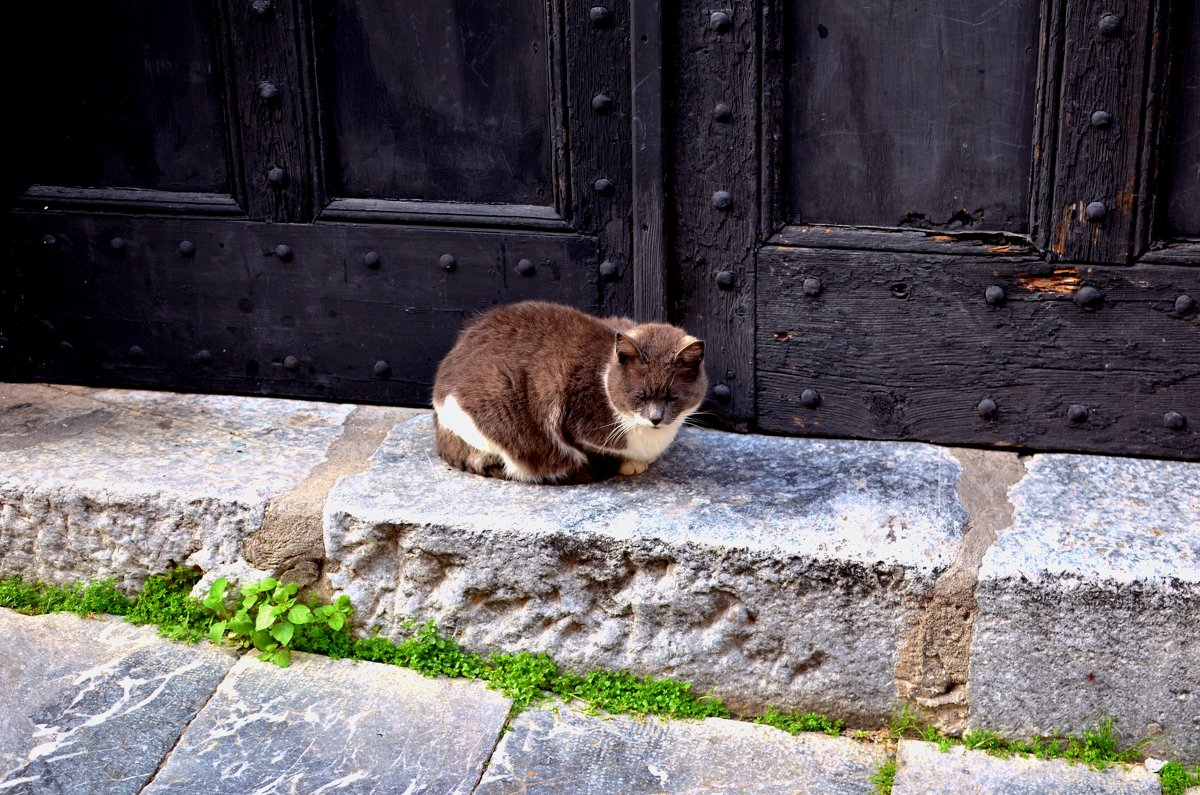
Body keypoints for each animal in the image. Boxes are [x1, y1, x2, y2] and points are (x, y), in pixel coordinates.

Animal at [432, 300, 705, 482]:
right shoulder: (572, 419)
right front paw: (628, 464)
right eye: (640, 396)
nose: (656, 419)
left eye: (673, 398)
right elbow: (591, 451)